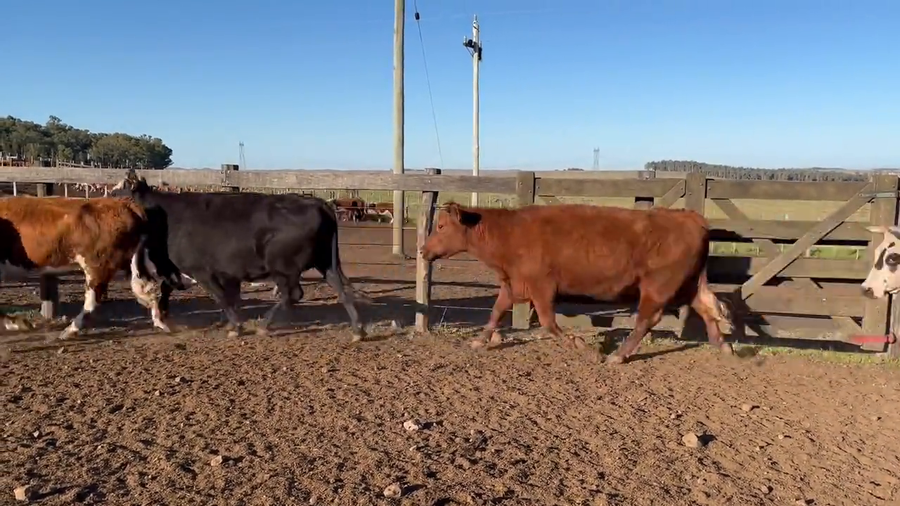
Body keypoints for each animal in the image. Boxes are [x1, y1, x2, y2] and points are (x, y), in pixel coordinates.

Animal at [0, 196, 183, 339]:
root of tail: (127, 204)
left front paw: (17, 323)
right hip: (134, 262)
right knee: (148, 288)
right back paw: (160, 321)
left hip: (98, 265)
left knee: (93, 300)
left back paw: (70, 330)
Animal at [112, 171, 369, 340]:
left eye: (117, 192)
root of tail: (319, 203)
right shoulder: (212, 271)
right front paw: (166, 319)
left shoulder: (202, 271)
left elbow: (222, 298)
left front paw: (236, 326)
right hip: (325, 262)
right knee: (338, 288)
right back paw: (358, 329)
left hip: (283, 267)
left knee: (293, 294)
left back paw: (264, 324)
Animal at [420, 202, 734, 364]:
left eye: (442, 226)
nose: (423, 250)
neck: (509, 233)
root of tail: (691, 218)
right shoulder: (514, 283)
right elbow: (496, 311)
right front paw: (479, 340)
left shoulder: (542, 286)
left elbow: (548, 322)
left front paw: (582, 346)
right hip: (688, 284)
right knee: (707, 307)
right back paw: (723, 346)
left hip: (657, 286)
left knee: (647, 319)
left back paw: (618, 355)